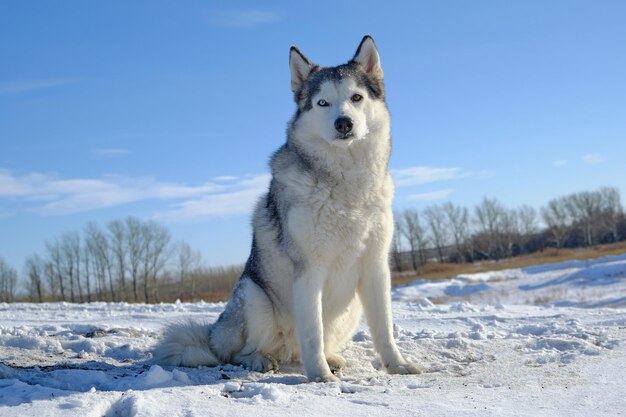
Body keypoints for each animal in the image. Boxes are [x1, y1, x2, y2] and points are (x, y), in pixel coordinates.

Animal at [154, 35, 422, 380]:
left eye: (356, 98)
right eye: (322, 103)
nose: (344, 123)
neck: (345, 182)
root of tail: (213, 335)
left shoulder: (376, 267)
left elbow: (385, 329)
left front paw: (397, 365)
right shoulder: (309, 270)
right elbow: (313, 331)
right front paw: (320, 376)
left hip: (350, 310)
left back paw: (331, 358)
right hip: (253, 296)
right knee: (238, 352)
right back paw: (260, 359)